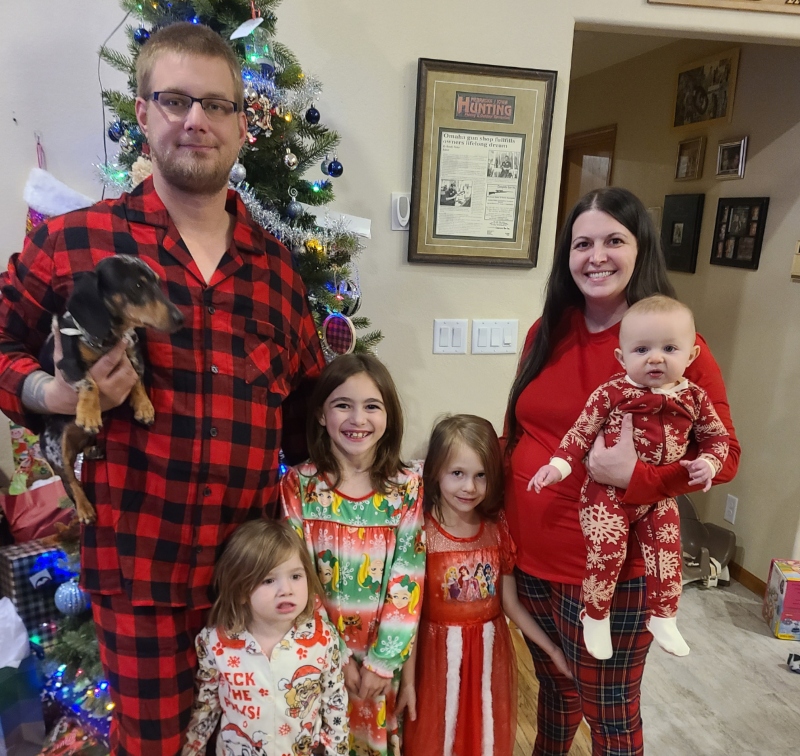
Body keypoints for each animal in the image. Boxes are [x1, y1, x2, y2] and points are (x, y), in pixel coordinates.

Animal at [40, 256, 183, 524]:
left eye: (157, 283)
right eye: (137, 286)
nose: (181, 318)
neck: (109, 337)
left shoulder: (130, 349)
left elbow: (136, 376)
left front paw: (144, 407)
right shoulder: (67, 363)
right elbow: (89, 382)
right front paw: (89, 414)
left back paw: (92, 448)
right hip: (54, 449)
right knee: (70, 480)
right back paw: (84, 508)